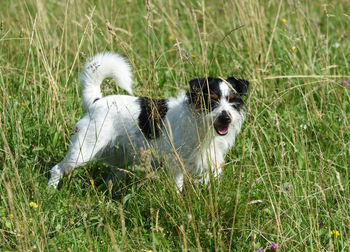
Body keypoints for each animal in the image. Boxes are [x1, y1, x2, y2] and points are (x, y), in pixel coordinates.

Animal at [48, 53, 249, 191]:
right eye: (212, 100)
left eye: (233, 100)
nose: (226, 117)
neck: (201, 125)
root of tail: (96, 102)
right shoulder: (175, 162)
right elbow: (177, 185)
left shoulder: (211, 159)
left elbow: (213, 175)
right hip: (82, 151)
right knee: (57, 168)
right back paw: (51, 189)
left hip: (118, 156)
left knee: (113, 176)